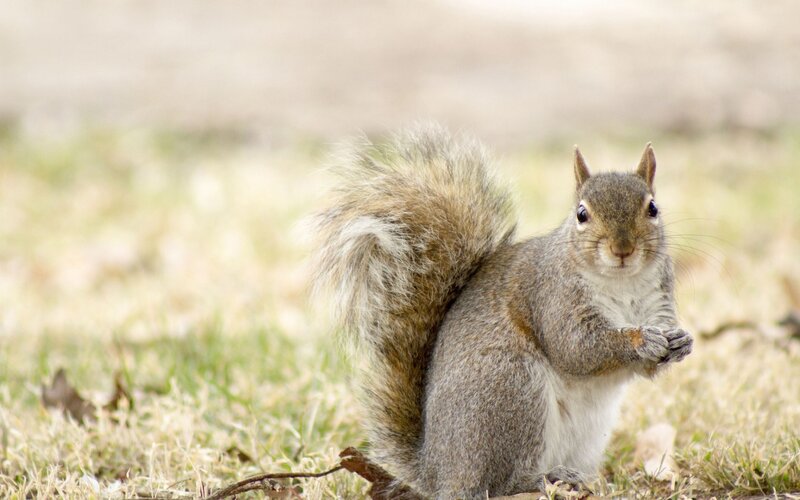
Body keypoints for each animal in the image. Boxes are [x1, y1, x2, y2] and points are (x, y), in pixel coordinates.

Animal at [311, 125, 693, 499]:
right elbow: (576, 348)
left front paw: (681, 341)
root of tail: (437, 472)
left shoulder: (657, 299)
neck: (622, 282)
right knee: (499, 484)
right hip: (510, 388)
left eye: (653, 208)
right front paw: (640, 341)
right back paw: (543, 479)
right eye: (581, 214)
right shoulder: (552, 296)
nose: (622, 248)